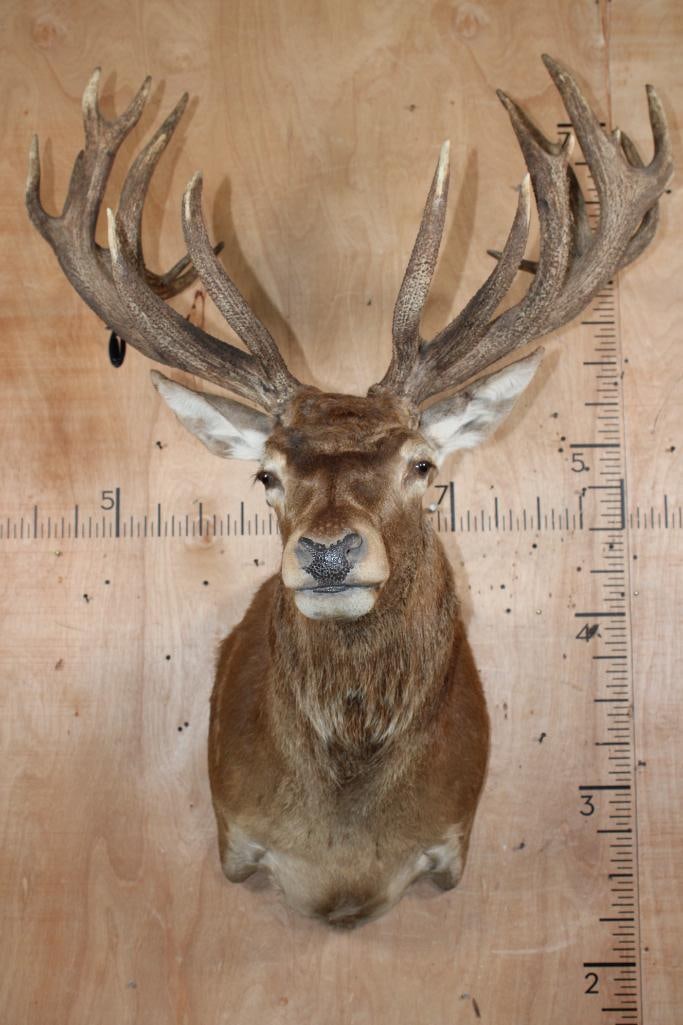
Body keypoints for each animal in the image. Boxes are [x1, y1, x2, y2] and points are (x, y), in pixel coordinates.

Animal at [26, 56, 672, 926]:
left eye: (422, 465)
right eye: (266, 473)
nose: (328, 551)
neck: (343, 854)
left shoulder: (450, 840)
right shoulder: (236, 833)